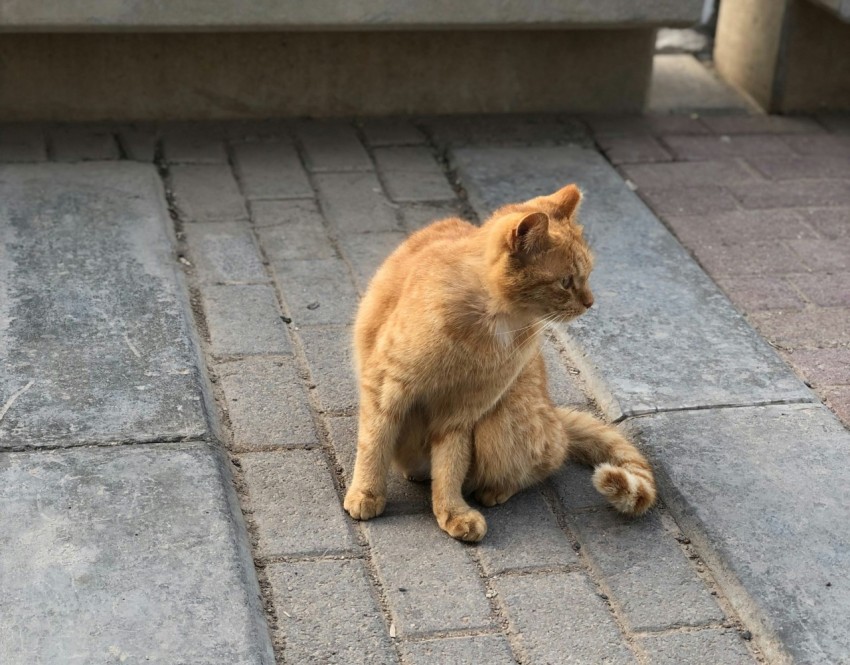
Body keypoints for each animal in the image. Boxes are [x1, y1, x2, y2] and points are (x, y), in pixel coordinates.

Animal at [342, 183, 652, 540]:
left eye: (587, 276)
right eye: (565, 281)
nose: (590, 302)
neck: (489, 324)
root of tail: (556, 415)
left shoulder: (461, 412)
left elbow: (450, 466)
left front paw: (452, 511)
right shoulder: (385, 387)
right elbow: (373, 445)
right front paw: (366, 493)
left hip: (501, 423)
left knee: (539, 466)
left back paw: (494, 490)